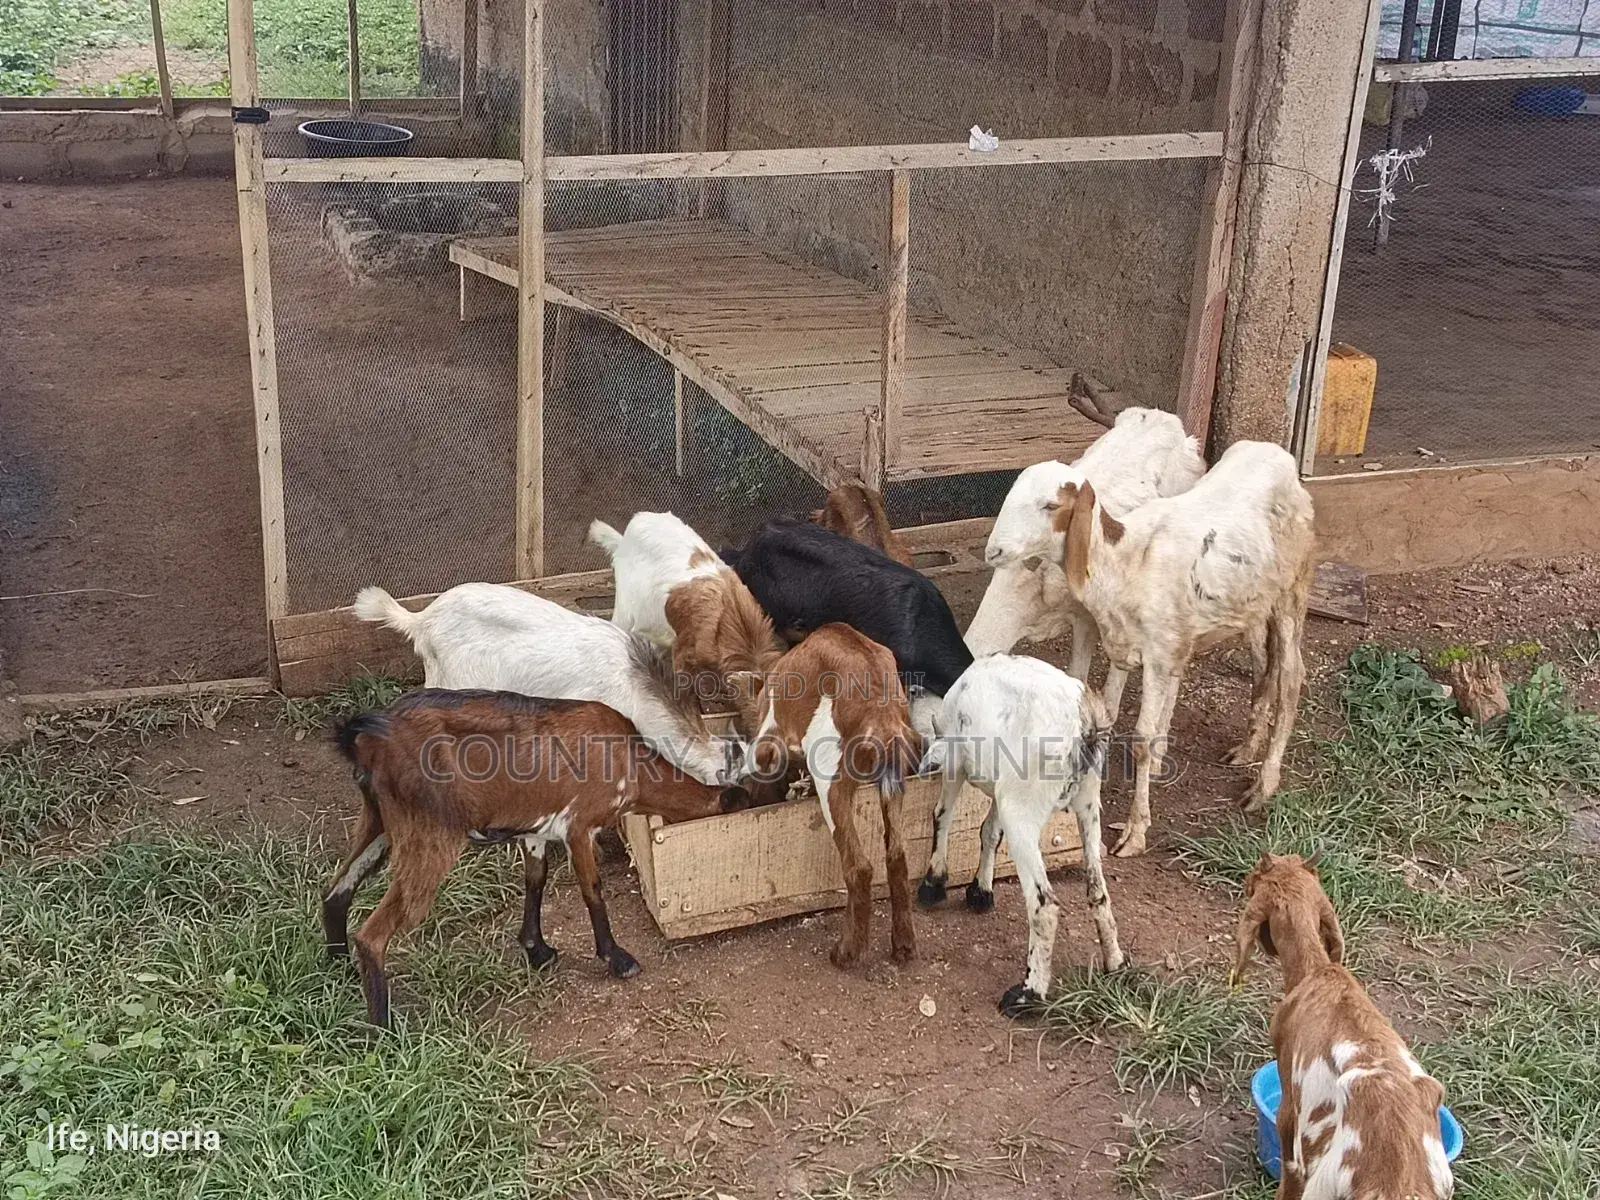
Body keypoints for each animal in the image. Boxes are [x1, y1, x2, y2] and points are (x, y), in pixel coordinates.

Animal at [325, 689, 749, 1027]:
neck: (631, 762)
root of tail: (363, 740)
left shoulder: (537, 831)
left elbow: (536, 879)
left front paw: (537, 950)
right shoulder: (580, 824)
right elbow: (591, 889)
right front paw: (617, 959)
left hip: (378, 822)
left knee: (335, 891)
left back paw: (340, 974)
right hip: (430, 833)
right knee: (373, 933)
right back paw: (384, 1030)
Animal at [743, 623, 923, 968]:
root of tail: (882, 716)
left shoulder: (768, 734)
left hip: (831, 780)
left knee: (858, 866)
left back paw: (847, 952)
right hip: (894, 785)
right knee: (897, 856)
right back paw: (904, 945)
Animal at [918, 654, 1124, 1016]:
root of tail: (1085, 725)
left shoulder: (957, 763)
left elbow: (942, 815)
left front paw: (934, 882)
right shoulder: (1002, 790)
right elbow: (989, 831)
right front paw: (981, 890)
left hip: (1024, 813)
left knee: (1045, 905)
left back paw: (1028, 995)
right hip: (1087, 804)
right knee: (1098, 891)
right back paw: (1115, 962)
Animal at [1048, 440, 1315, 856]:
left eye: (1052, 506)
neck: (1125, 561)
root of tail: (1278, 455)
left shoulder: (1160, 652)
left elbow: (1142, 737)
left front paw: (1135, 830)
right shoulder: (1127, 642)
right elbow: (1108, 712)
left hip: (1292, 591)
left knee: (1290, 675)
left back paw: (1263, 785)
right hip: (1252, 605)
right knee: (1263, 666)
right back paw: (1247, 748)